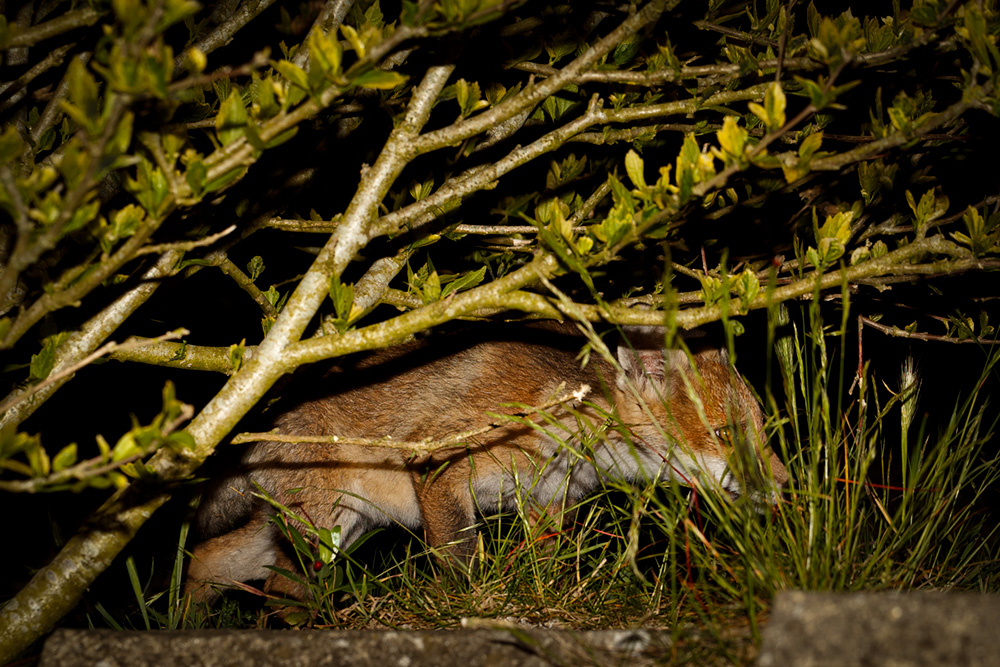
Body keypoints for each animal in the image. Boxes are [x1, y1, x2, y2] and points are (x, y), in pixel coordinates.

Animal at [185, 324, 789, 603]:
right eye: (724, 435)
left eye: (762, 431)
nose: (787, 488)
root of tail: (259, 419)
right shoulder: (439, 463)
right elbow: (460, 563)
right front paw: (470, 605)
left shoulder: (548, 504)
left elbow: (545, 565)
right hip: (319, 531)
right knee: (273, 587)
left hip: (342, 530)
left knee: (208, 560)